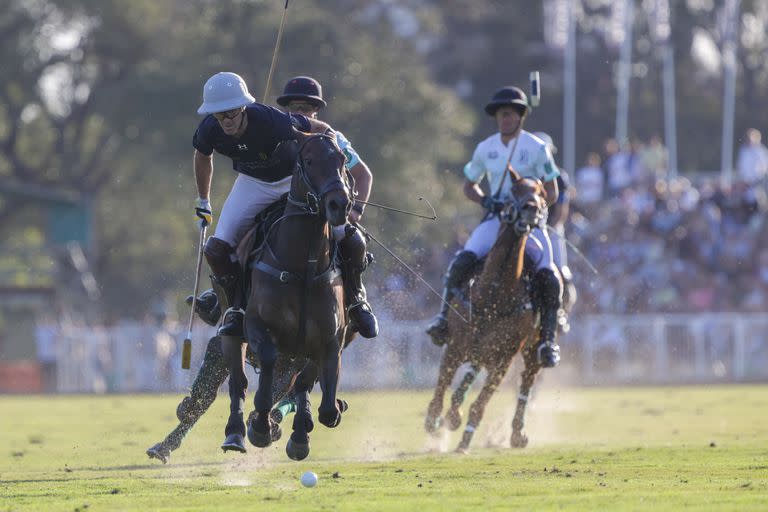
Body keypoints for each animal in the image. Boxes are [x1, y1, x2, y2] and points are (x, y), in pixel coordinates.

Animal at [222, 131, 354, 460]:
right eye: (308, 160)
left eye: (342, 159)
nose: (339, 204)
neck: (303, 266)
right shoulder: (257, 325)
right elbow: (266, 370)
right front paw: (260, 426)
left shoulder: (333, 338)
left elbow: (324, 404)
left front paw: (304, 428)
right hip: (231, 330)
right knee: (238, 381)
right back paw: (236, 432)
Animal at [424, 173, 548, 452]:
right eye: (514, 190)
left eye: (542, 194)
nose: (531, 209)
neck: (494, 294)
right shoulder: (454, 346)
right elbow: (440, 389)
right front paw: (435, 421)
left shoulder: (504, 357)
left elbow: (480, 404)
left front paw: (464, 441)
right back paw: (451, 414)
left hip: (531, 349)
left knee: (527, 381)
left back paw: (517, 434)